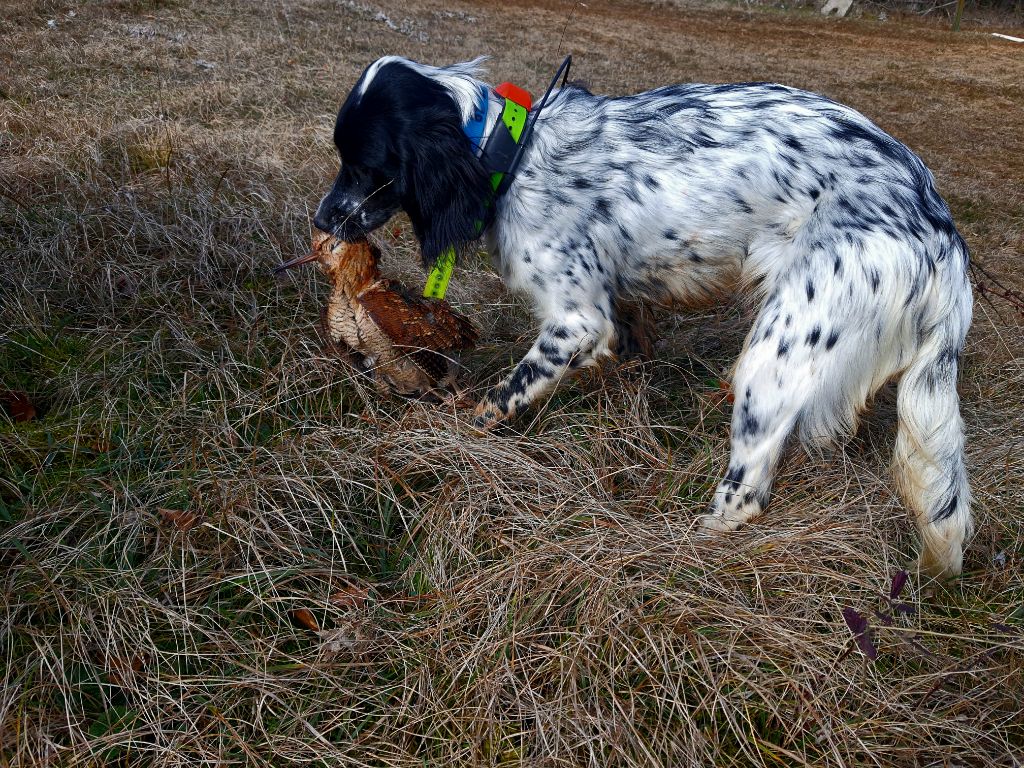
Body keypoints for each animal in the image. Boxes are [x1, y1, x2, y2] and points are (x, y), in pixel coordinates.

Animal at [313, 55, 974, 577]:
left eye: (367, 165)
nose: (323, 220)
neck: (513, 154)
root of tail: (940, 231)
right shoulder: (616, 313)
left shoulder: (575, 321)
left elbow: (502, 397)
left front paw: (455, 433)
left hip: (777, 355)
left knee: (746, 493)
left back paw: (689, 547)